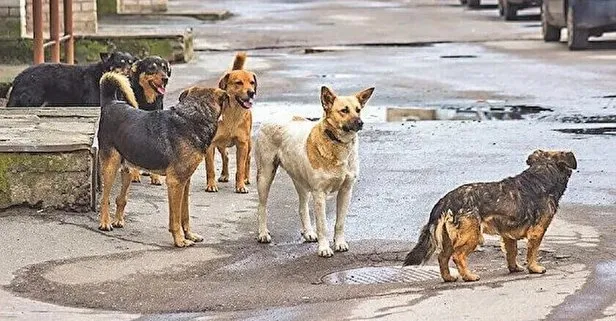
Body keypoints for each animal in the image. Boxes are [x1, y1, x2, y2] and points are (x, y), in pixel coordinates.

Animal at [6, 51, 134, 107]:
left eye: (131, 62)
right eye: (121, 62)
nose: (130, 69)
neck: (102, 73)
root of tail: (17, 79)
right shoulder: (93, 102)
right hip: (35, 100)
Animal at [97, 73, 227, 248]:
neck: (193, 117)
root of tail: (111, 103)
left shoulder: (185, 182)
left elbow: (185, 214)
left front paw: (190, 235)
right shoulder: (175, 183)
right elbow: (175, 218)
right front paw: (180, 240)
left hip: (127, 169)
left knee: (120, 198)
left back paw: (118, 220)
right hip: (110, 166)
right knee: (104, 199)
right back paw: (105, 223)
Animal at [127, 55, 171, 185]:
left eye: (165, 68)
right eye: (152, 68)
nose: (165, 79)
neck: (147, 101)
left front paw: (155, 177)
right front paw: (135, 175)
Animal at [205, 52, 258, 192]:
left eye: (252, 83)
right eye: (238, 83)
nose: (252, 92)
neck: (233, 113)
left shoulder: (242, 144)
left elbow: (240, 168)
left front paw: (240, 185)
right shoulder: (210, 145)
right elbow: (210, 168)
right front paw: (211, 185)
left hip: (248, 143)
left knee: (247, 159)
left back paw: (246, 178)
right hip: (220, 144)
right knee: (226, 156)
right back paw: (224, 175)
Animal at [404, 149, 576, 282]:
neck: (541, 175)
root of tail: (446, 200)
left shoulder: (508, 235)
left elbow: (512, 252)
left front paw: (514, 268)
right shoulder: (537, 232)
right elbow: (532, 252)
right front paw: (534, 268)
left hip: (449, 238)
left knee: (442, 257)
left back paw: (448, 277)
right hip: (472, 235)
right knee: (457, 256)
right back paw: (469, 276)